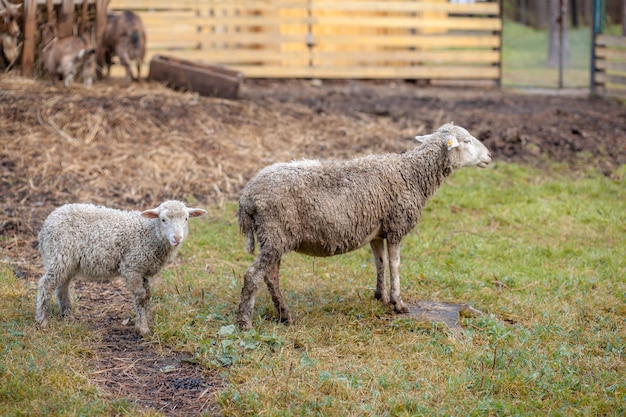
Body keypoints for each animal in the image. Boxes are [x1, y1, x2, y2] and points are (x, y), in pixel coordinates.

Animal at [35, 199, 206, 334]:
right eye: (163, 219)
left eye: (186, 218)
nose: (177, 238)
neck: (150, 234)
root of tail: (47, 222)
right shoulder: (132, 267)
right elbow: (141, 297)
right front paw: (143, 328)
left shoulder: (143, 269)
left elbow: (147, 295)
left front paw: (148, 320)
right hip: (59, 254)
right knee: (46, 285)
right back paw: (42, 321)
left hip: (67, 261)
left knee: (62, 287)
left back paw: (68, 316)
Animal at [236, 122, 490, 330]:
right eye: (467, 141)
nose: (489, 155)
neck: (412, 174)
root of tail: (246, 197)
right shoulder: (396, 226)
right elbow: (395, 265)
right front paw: (398, 303)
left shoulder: (377, 232)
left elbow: (380, 263)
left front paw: (381, 297)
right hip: (275, 234)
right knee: (253, 276)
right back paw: (245, 323)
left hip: (274, 237)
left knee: (271, 277)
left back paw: (285, 316)